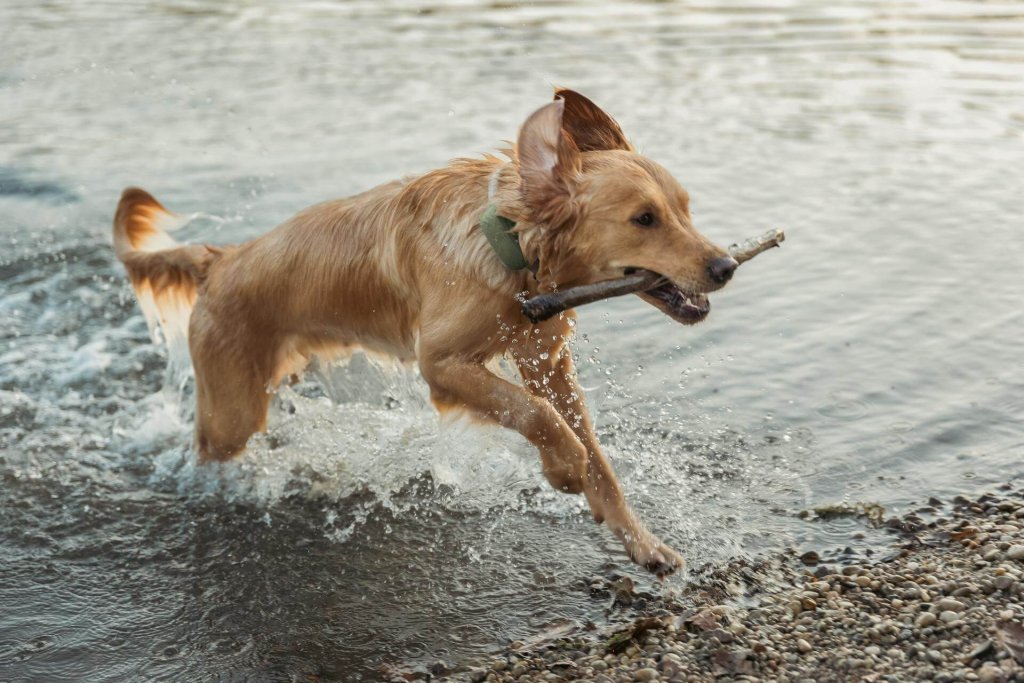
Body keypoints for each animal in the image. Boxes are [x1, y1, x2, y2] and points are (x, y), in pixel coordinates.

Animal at [112, 88, 737, 573]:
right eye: (644, 219)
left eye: (685, 209)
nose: (726, 266)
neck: (510, 249)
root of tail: (219, 259)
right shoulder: (441, 364)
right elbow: (538, 416)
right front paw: (563, 469)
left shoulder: (547, 363)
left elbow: (597, 458)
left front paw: (642, 542)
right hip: (232, 412)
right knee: (206, 450)